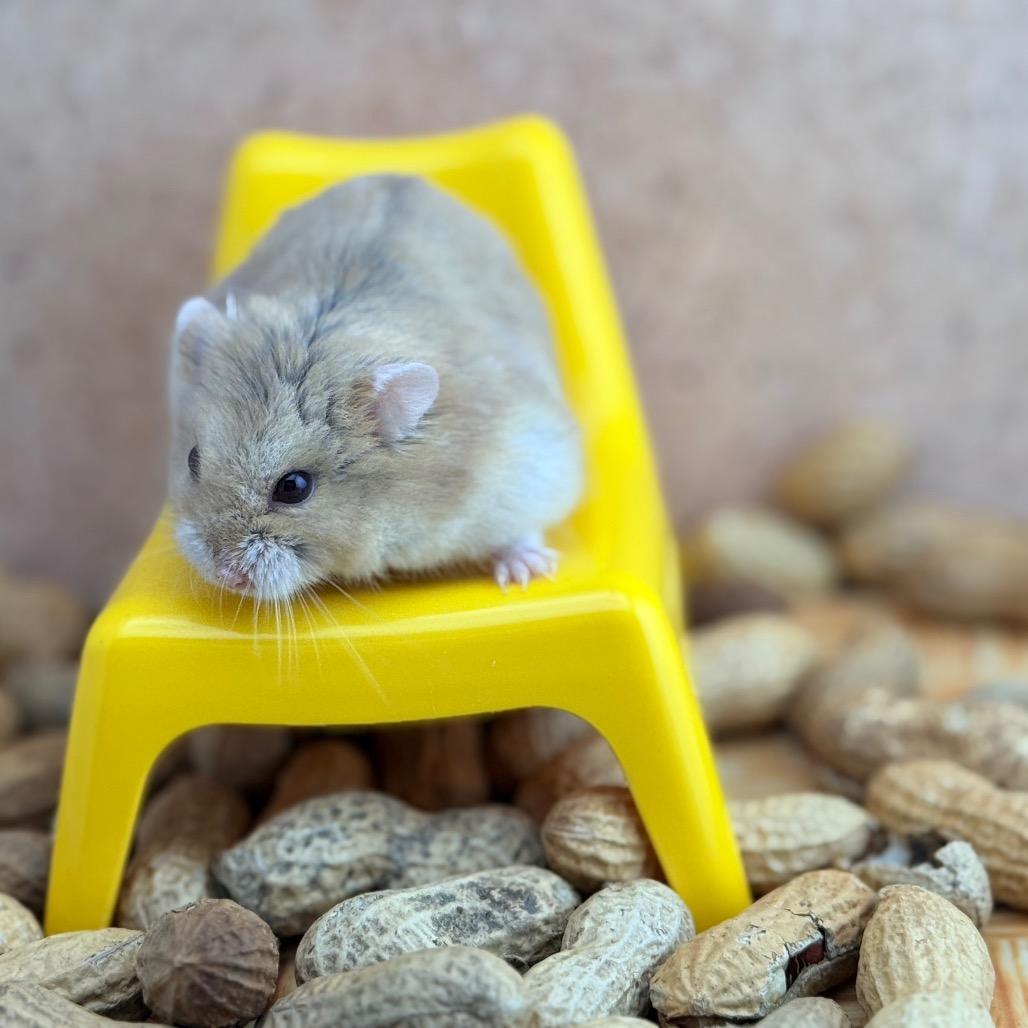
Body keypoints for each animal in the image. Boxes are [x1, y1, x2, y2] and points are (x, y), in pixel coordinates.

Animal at [169, 175, 583, 602]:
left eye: (294, 487)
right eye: (193, 459)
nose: (225, 576)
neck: (386, 506)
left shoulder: (530, 461)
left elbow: (523, 528)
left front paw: (526, 574)